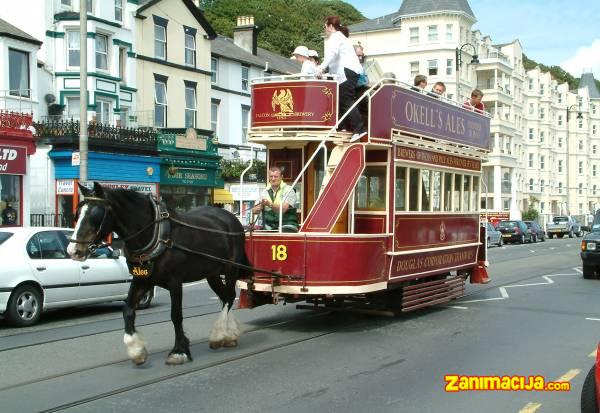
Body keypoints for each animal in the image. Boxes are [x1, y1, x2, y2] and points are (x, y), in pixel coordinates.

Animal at [67, 182, 251, 366]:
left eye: (96, 215)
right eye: (77, 214)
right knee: (224, 297)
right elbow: (128, 310)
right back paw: (228, 334)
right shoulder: (141, 280)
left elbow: (176, 315)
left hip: (231, 269)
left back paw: (220, 334)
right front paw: (136, 350)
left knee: (229, 296)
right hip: (211, 273)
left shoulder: (175, 281)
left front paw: (179, 351)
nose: (73, 251)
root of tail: (230, 217)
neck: (156, 235)